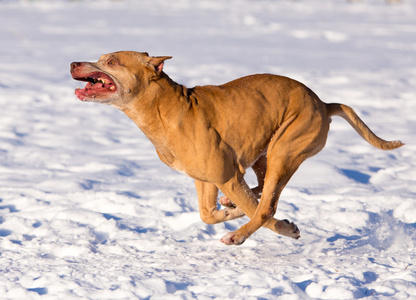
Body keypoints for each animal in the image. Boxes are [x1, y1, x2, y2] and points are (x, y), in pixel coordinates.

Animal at [70, 51, 404, 244]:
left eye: (111, 62)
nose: (73, 63)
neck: (164, 109)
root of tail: (323, 103)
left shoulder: (225, 175)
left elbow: (256, 209)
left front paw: (271, 224)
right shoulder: (207, 179)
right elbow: (207, 214)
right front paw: (230, 210)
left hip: (285, 151)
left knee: (267, 206)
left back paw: (243, 234)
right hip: (265, 154)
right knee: (264, 191)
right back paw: (238, 206)